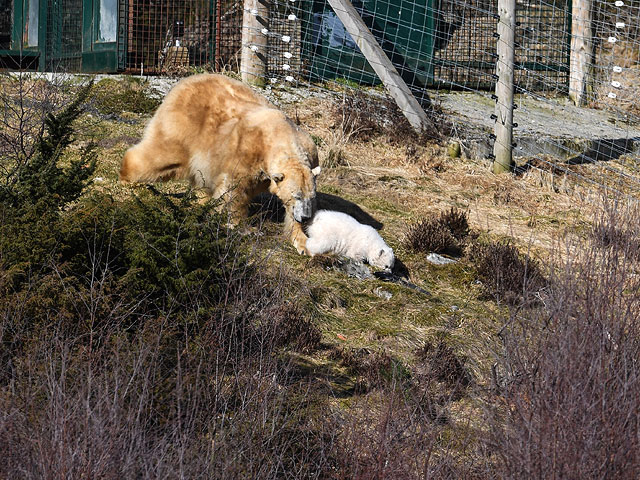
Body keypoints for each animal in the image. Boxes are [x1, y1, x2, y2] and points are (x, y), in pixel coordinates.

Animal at [120, 73, 320, 253]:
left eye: (310, 197)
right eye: (297, 195)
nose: (305, 217)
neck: (280, 136)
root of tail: (186, 81)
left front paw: (303, 242)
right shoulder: (246, 152)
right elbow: (234, 190)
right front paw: (245, 229)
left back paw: (201, 199)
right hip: (186, 126)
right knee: (163, 156)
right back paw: (127, 177)